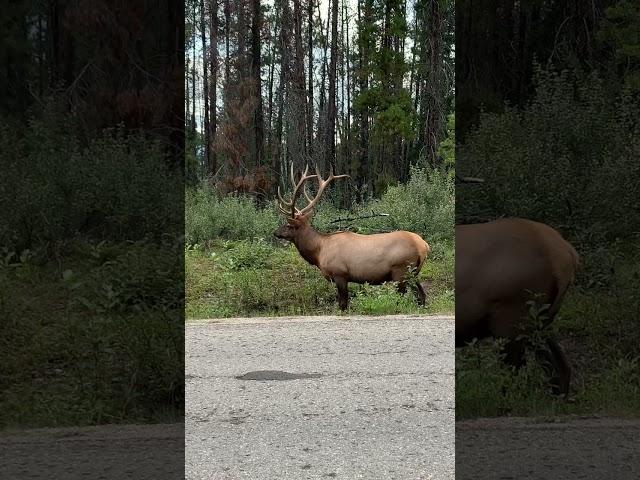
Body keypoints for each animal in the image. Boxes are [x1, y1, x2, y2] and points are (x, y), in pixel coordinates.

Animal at [276, 166, 430, 312]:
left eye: (289, 225)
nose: (275, 232)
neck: (319, 252)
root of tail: (424, 246)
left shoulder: (340, 274)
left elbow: (343, 304)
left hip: (401, 271)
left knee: (404, 296)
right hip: (413, 273)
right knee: (422, 296)